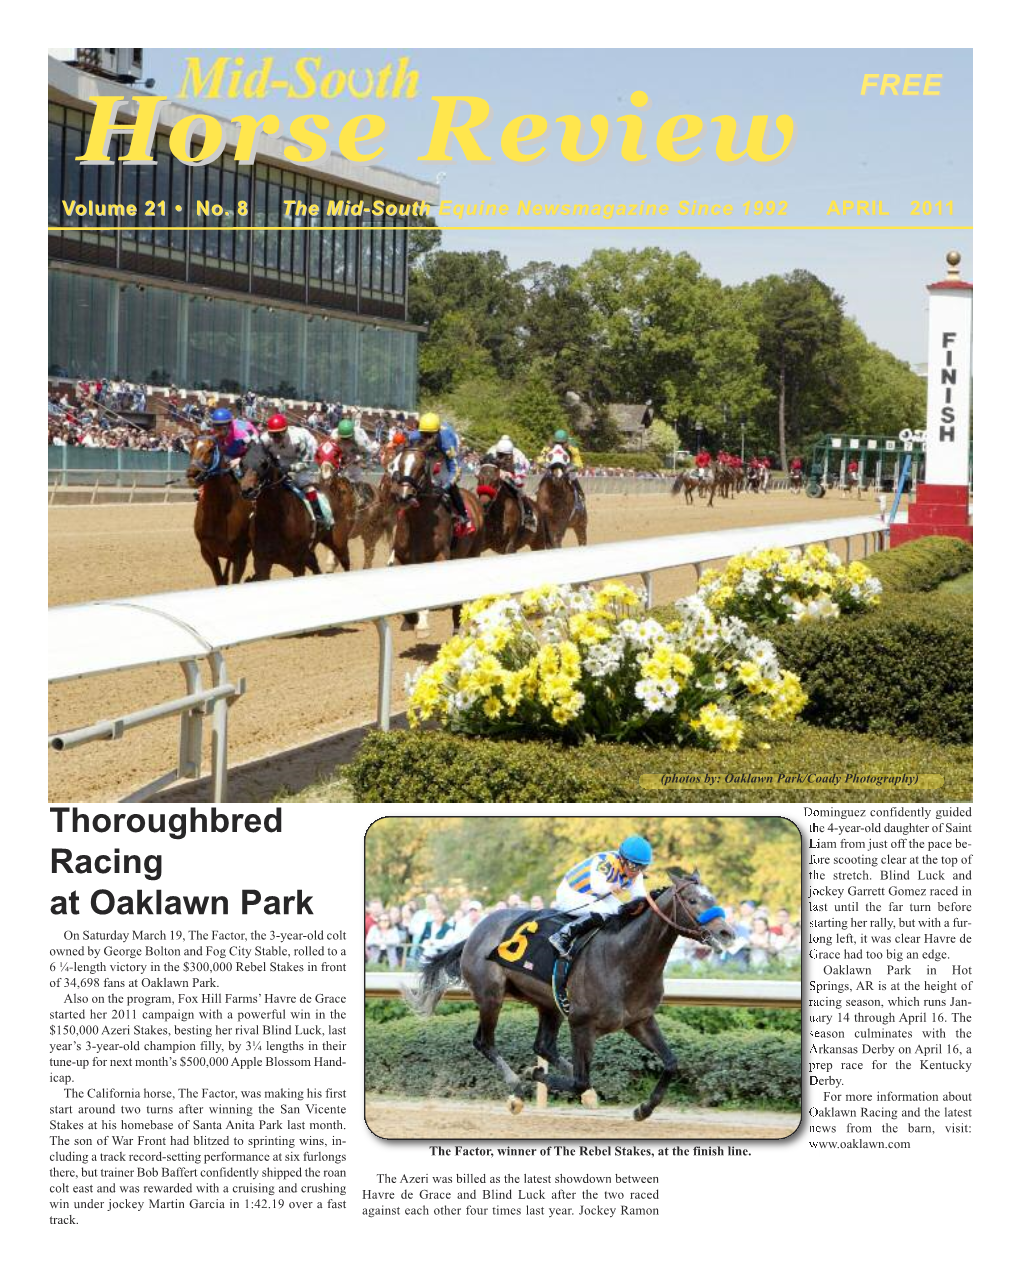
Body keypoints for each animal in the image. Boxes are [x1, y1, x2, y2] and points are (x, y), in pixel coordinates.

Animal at [186, 435, 252, 586]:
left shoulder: (240, 554)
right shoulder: (208, 552)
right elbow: (220, 580)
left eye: (210, 450)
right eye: (191, 449)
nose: (192, 474)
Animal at [389, 445, 486, 634]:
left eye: (421, 467)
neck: (418, 524)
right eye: (399, 464)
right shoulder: (400, 558)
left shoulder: (440, 557)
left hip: (473, 552)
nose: (404, 496)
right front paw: (410, 620)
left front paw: (422, 625)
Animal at [404, 870, 732, 1121]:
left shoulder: (639, 1020)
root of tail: (475, 931)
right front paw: (533, 1074)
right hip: (491, 996)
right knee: (484, 1042)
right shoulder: (582, 1025)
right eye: (692, 900)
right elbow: (579, 1080)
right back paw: (517, 1089)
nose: (727, 933)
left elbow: (671, 1062)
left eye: (713, 898)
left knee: (543, 1045)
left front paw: (644, 1109)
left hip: (549, 1004)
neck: (624, 960)